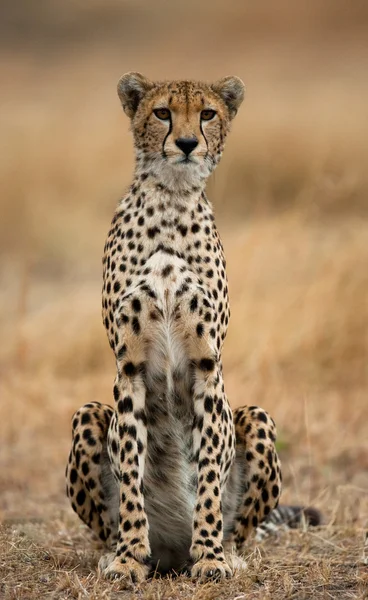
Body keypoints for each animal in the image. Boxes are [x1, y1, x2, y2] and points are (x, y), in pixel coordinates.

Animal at [65, 75, 320, 584]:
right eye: (162, 112)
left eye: (207, 114)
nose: (185, 144)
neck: (172, 198)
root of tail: (171, 552)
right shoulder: (129, 365)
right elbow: (130, 468)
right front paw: (128, 557)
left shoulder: (207, 363)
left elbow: (207, 475)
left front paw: (210, 557)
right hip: (88, 413)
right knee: (105, 521)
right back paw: (117, 551)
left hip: (257, 416)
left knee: (239, 525)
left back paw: (225, 551)